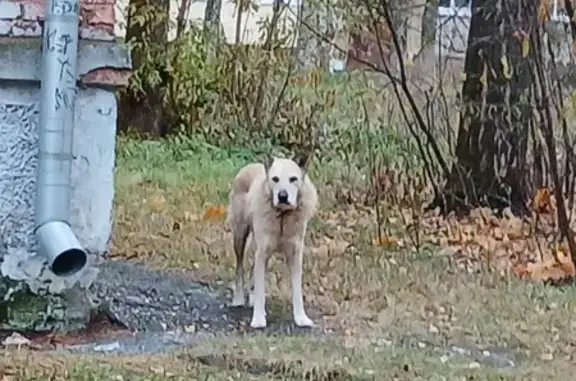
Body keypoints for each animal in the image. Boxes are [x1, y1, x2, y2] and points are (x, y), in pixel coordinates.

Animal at [225, 154, 318, 326]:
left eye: (293, 179)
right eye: (275, 179)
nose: (282, 196)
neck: (282, 216)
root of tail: (249, 166)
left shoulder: (295, 254)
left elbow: (297, 289)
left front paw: (301, 318)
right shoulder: (262, 251)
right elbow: (260, 287)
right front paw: (258, 319)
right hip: (240, 236)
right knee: (240, 268)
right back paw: (239, 299)